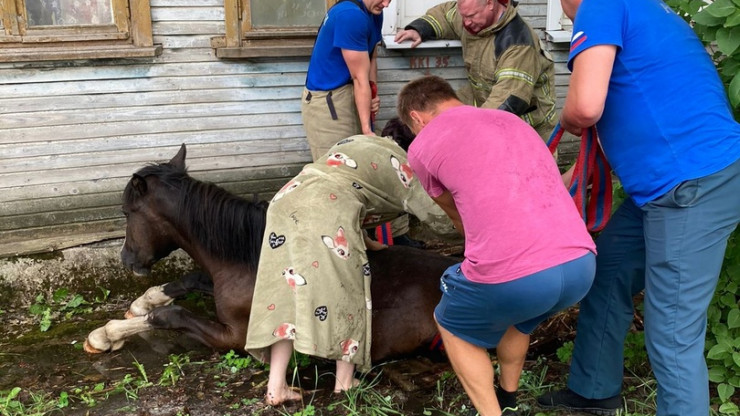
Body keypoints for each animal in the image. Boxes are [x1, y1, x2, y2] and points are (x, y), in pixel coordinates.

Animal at [84, 145, 460, 362]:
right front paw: (140, 304)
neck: (248, 258)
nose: (126, 260)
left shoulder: (234, 337)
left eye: (127, 212)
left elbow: (171, 316)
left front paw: (105, 335)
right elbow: (189, 279)